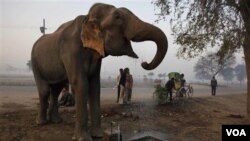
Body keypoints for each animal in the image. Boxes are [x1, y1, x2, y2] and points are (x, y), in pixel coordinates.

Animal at [31, 2, 168, 141]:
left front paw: (98, 135)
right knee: (45, 90)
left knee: (56, 89)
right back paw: (42, 122)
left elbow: (95, 86)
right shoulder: (70, 50)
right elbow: (81, 84)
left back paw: (56, 121)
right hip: (34, 62)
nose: (144, 63)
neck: (87, 18)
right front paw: (83, 138)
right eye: (117, 17)